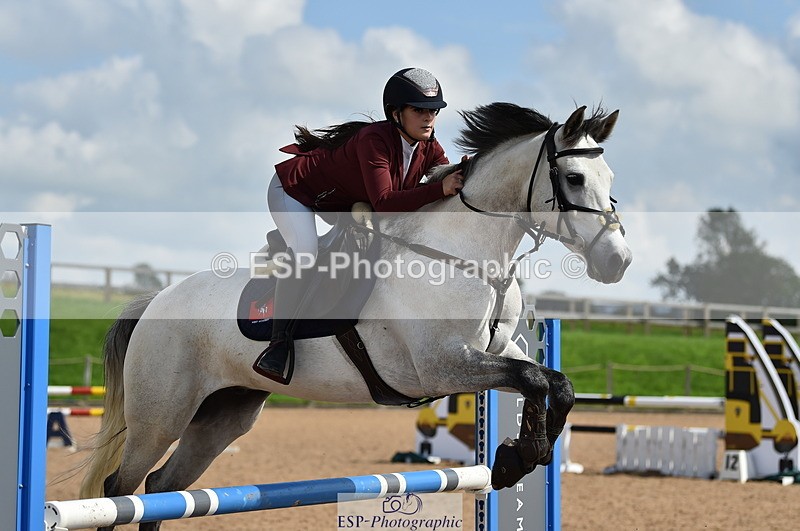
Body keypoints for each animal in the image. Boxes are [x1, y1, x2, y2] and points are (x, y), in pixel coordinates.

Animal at [79, 102, 631, 530]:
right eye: (574, 178)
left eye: (610, 179)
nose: (618, 262)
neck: (464, 253)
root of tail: (156, 302)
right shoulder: (440, 366)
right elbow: (533, 378)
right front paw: (521, 455)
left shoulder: (497, 351)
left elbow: (553, 382)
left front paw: (517, 457)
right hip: (161, 415)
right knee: (120, 488)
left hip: (223, 416)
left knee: (160, 489)